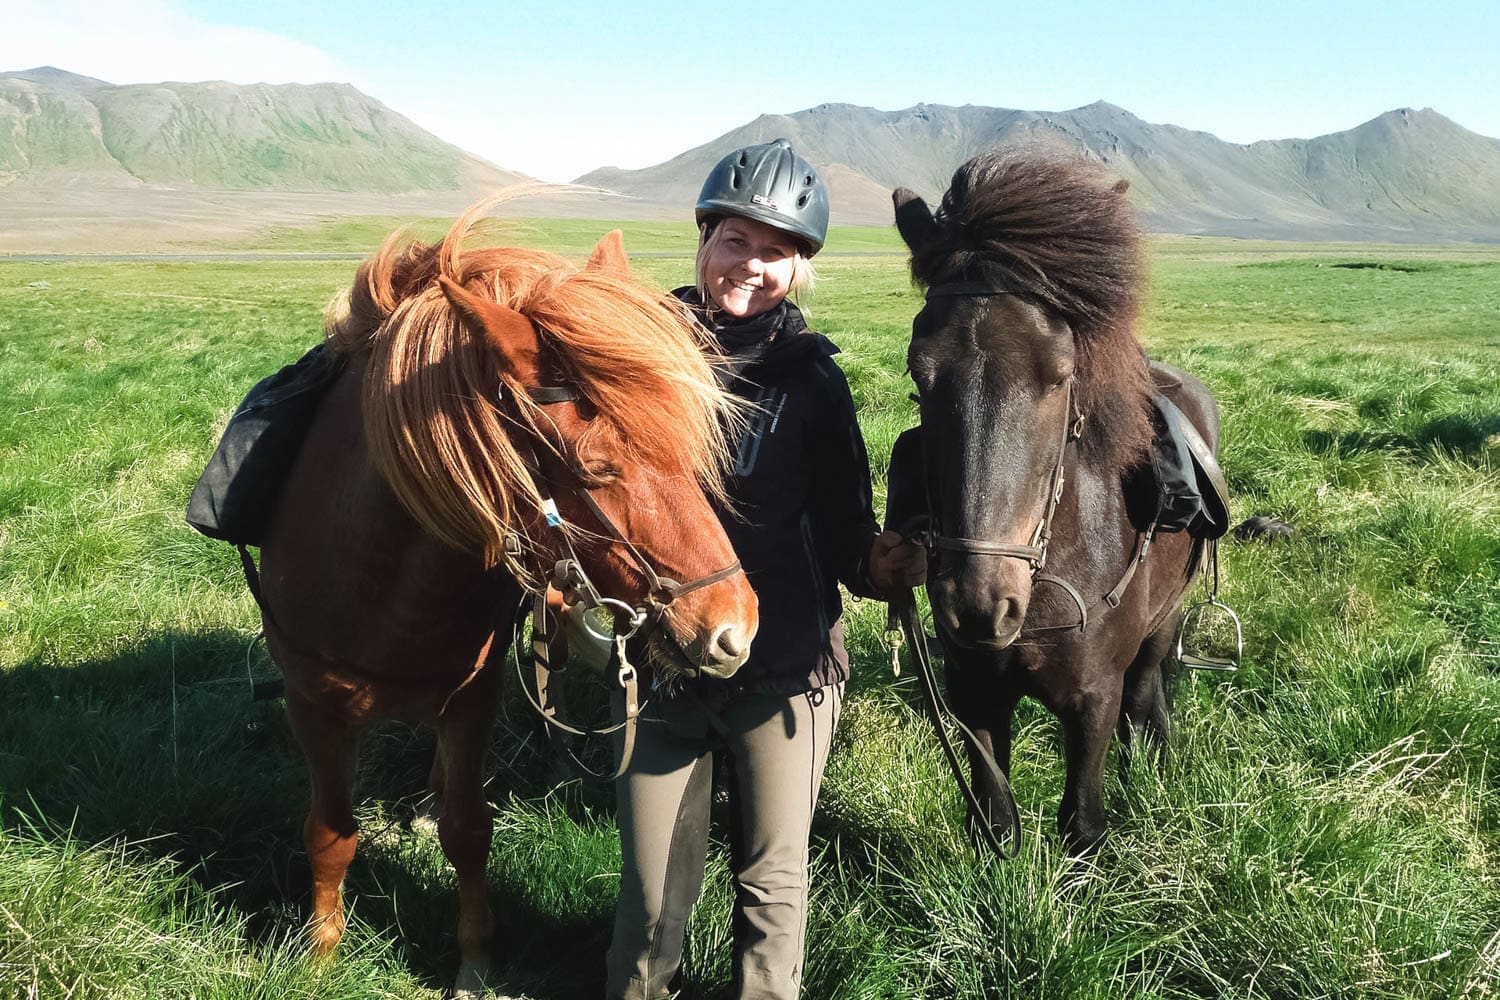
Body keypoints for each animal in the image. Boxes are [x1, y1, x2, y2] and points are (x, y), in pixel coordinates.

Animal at [256, 205, 759, 995]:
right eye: (598, 468)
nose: (734, 630)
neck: (382, 589)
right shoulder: (311, 704)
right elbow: (330, 833)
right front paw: (321, 951)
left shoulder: (473, 697)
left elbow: (469, 828)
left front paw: (473, 959)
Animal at [889, 152, 1222, 854]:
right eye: (918, 371)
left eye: (1062, 373)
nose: (980, 605)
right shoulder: (974, 695)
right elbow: (995, 822)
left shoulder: (1092, 700)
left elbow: (1082, 824)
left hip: (1167, 619)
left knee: (1147, 696)